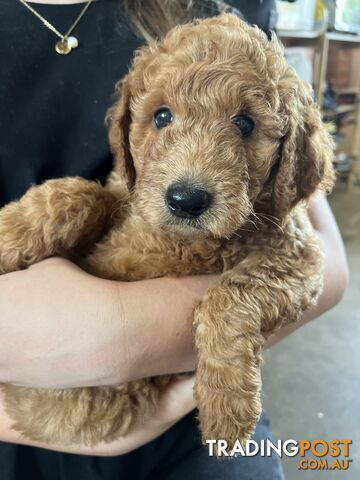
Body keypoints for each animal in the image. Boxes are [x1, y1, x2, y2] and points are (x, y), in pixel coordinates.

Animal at [0, 13, 334, 448]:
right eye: (161, 116)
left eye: (245, 124)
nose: (186, 200)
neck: (181, 240)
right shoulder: (129, 190)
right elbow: (80, 194)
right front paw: (9, 233)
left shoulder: (297, 254)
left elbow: (231, 295)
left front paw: (226, 404)